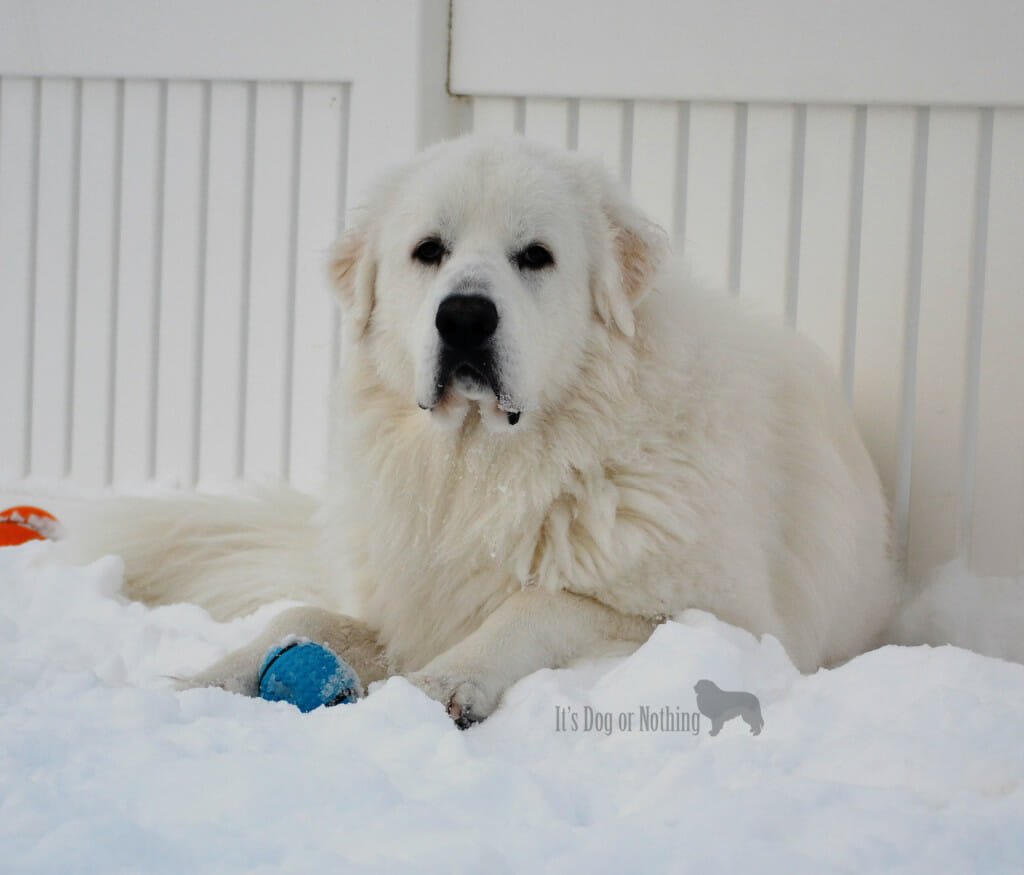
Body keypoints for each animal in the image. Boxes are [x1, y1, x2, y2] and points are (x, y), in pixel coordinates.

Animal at [81, 135, 897, 725]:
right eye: (428, 251)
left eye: (535, 256)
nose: (466, 317)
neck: (480, 471)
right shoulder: (407, 600)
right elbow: (307, 614)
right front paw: (213, 675)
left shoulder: (715, 620)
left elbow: (536, 604)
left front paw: (446, 681)